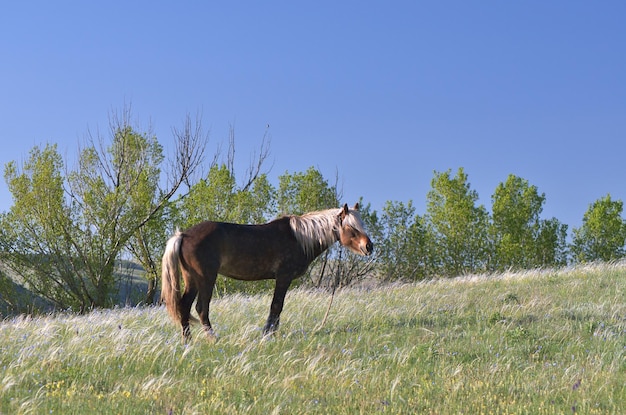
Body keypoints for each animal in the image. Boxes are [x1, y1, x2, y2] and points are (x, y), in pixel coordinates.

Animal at [161, 202, 372, 342]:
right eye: (351, 227)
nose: (369, 247)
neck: (299, 237)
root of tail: (183, 235)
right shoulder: (283, 277)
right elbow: (276, 306)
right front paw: (268, 334)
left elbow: (277, 308)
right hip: (206, 278)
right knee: (201, 308)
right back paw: (214, 339)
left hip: (192, 279)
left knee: (184, 306)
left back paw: (188, 341)